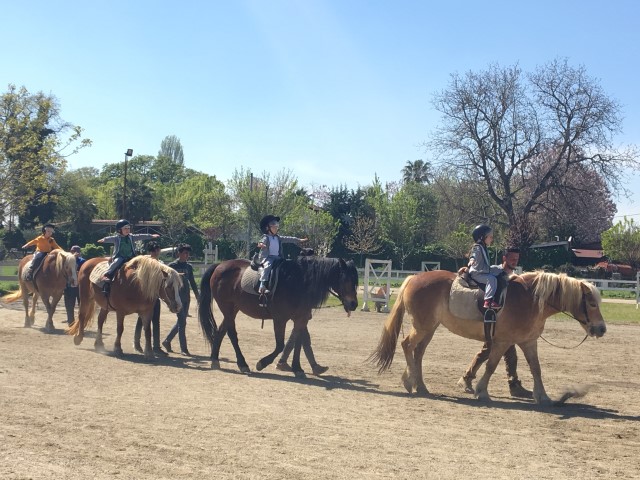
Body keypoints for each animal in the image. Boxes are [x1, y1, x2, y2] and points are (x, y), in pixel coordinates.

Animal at [199, 256, 360, 376]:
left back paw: (215, 360)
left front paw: (298, 368)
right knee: (232, 333)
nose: (353, 304)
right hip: (227, 308)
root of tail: (220, 265)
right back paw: (242, 364)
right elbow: (280, 345)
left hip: (233, 310)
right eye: (346, 279)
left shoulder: (300, 319)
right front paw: (262, 363)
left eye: (355, 281)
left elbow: (298, 342)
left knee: (221, 331)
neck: (298, 282)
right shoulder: (280, 320)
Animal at [370, 270, 604, 404]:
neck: (530, 299)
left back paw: (421, 386)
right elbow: (491, 365)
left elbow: (536, 368)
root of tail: (414, 278)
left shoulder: (528, 341)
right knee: (407, 345)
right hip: (422, 327)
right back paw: (410, 382)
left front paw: (543, 396)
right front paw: (481, 391)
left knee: (417, 352)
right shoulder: (503, 342)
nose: (601, 329)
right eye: (592, 303)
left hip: (430, 328)